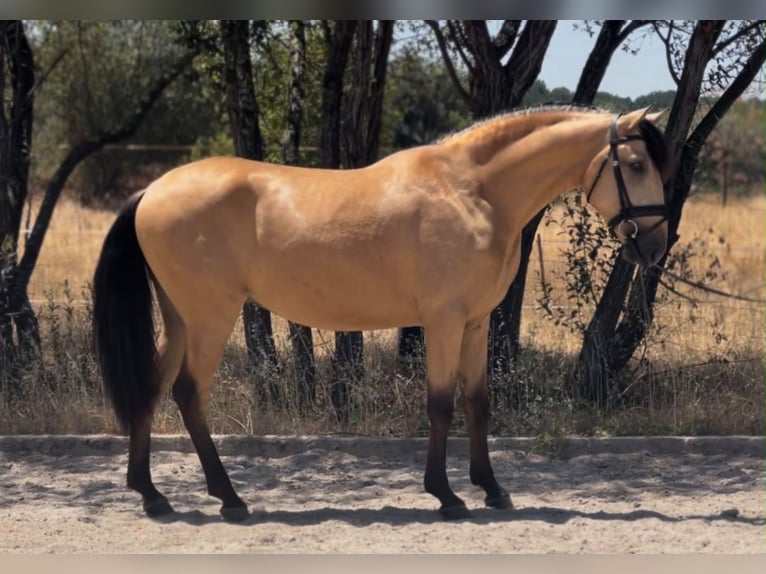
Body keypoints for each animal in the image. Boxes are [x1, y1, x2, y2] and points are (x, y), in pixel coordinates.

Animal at [92, 105, 672, 522]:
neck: (472, 192)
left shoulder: (476, 322)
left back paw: (152, 495)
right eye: (636, 165)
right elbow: (441, 405)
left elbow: (477, 404)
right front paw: (446, 496)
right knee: (189, 394)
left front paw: (492, 489)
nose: (655, 245)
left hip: (180, 319)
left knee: (150, 387)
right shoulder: (443, 320)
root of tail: (153, 189)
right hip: (211, 317)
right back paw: (229, 498)